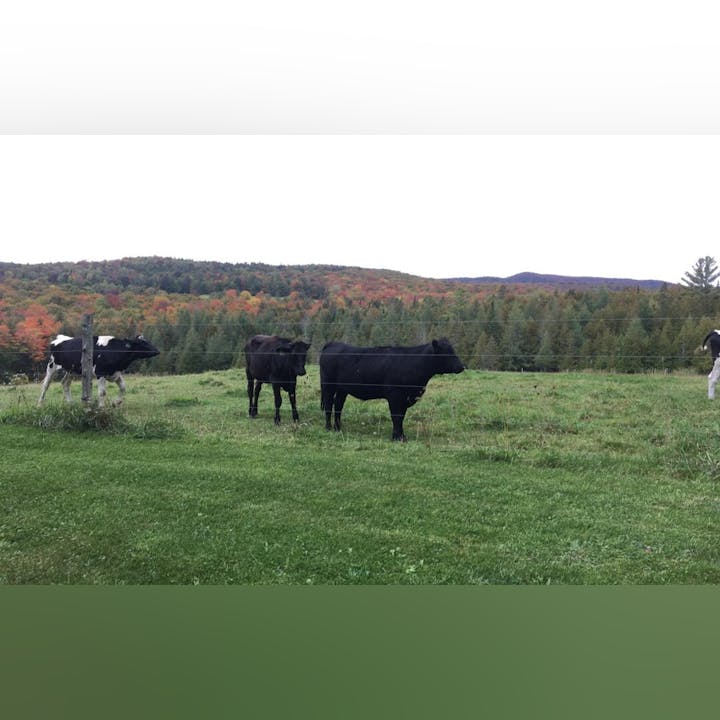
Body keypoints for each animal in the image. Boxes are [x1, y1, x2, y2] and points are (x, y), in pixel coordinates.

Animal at [319, 338, 465, 441]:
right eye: (447, 353)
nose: (461, 367)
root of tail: (333, 344)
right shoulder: (395, 396)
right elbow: (396, 416)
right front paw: (397, 437)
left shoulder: (405, 398)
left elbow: (401, 417)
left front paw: (401, 436)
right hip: (328, 385)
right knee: (329, 405)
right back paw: (328, 427)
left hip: (342, 389)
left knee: (338, 405)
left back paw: (338, 428)